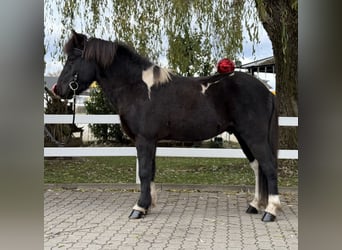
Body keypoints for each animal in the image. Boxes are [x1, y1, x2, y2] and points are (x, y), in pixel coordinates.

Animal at [54, 30, 280, 222]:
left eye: (72, 59)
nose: (58, 89)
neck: (136, 87)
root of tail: (266, 91)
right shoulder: (151, 141)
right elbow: (151, 171)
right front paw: (148, 205)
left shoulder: (144, 139)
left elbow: (144, 172)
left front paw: (138, 208)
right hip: (242, 136)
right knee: (258, 166)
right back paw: (254, 205)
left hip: (254, 136)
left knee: (268, 165)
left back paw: (270, 211)